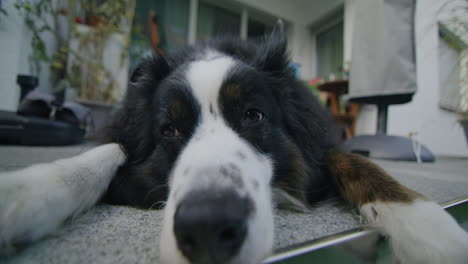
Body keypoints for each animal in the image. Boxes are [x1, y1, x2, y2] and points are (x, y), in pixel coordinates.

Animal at [0, 21, 468, 262]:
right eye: (169, 130)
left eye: (253, 115)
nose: (207, 229)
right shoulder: (124, 134)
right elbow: (105, 151)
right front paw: (30, 190)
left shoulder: (321, 141)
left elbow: (359, 164)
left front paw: (430, 228)